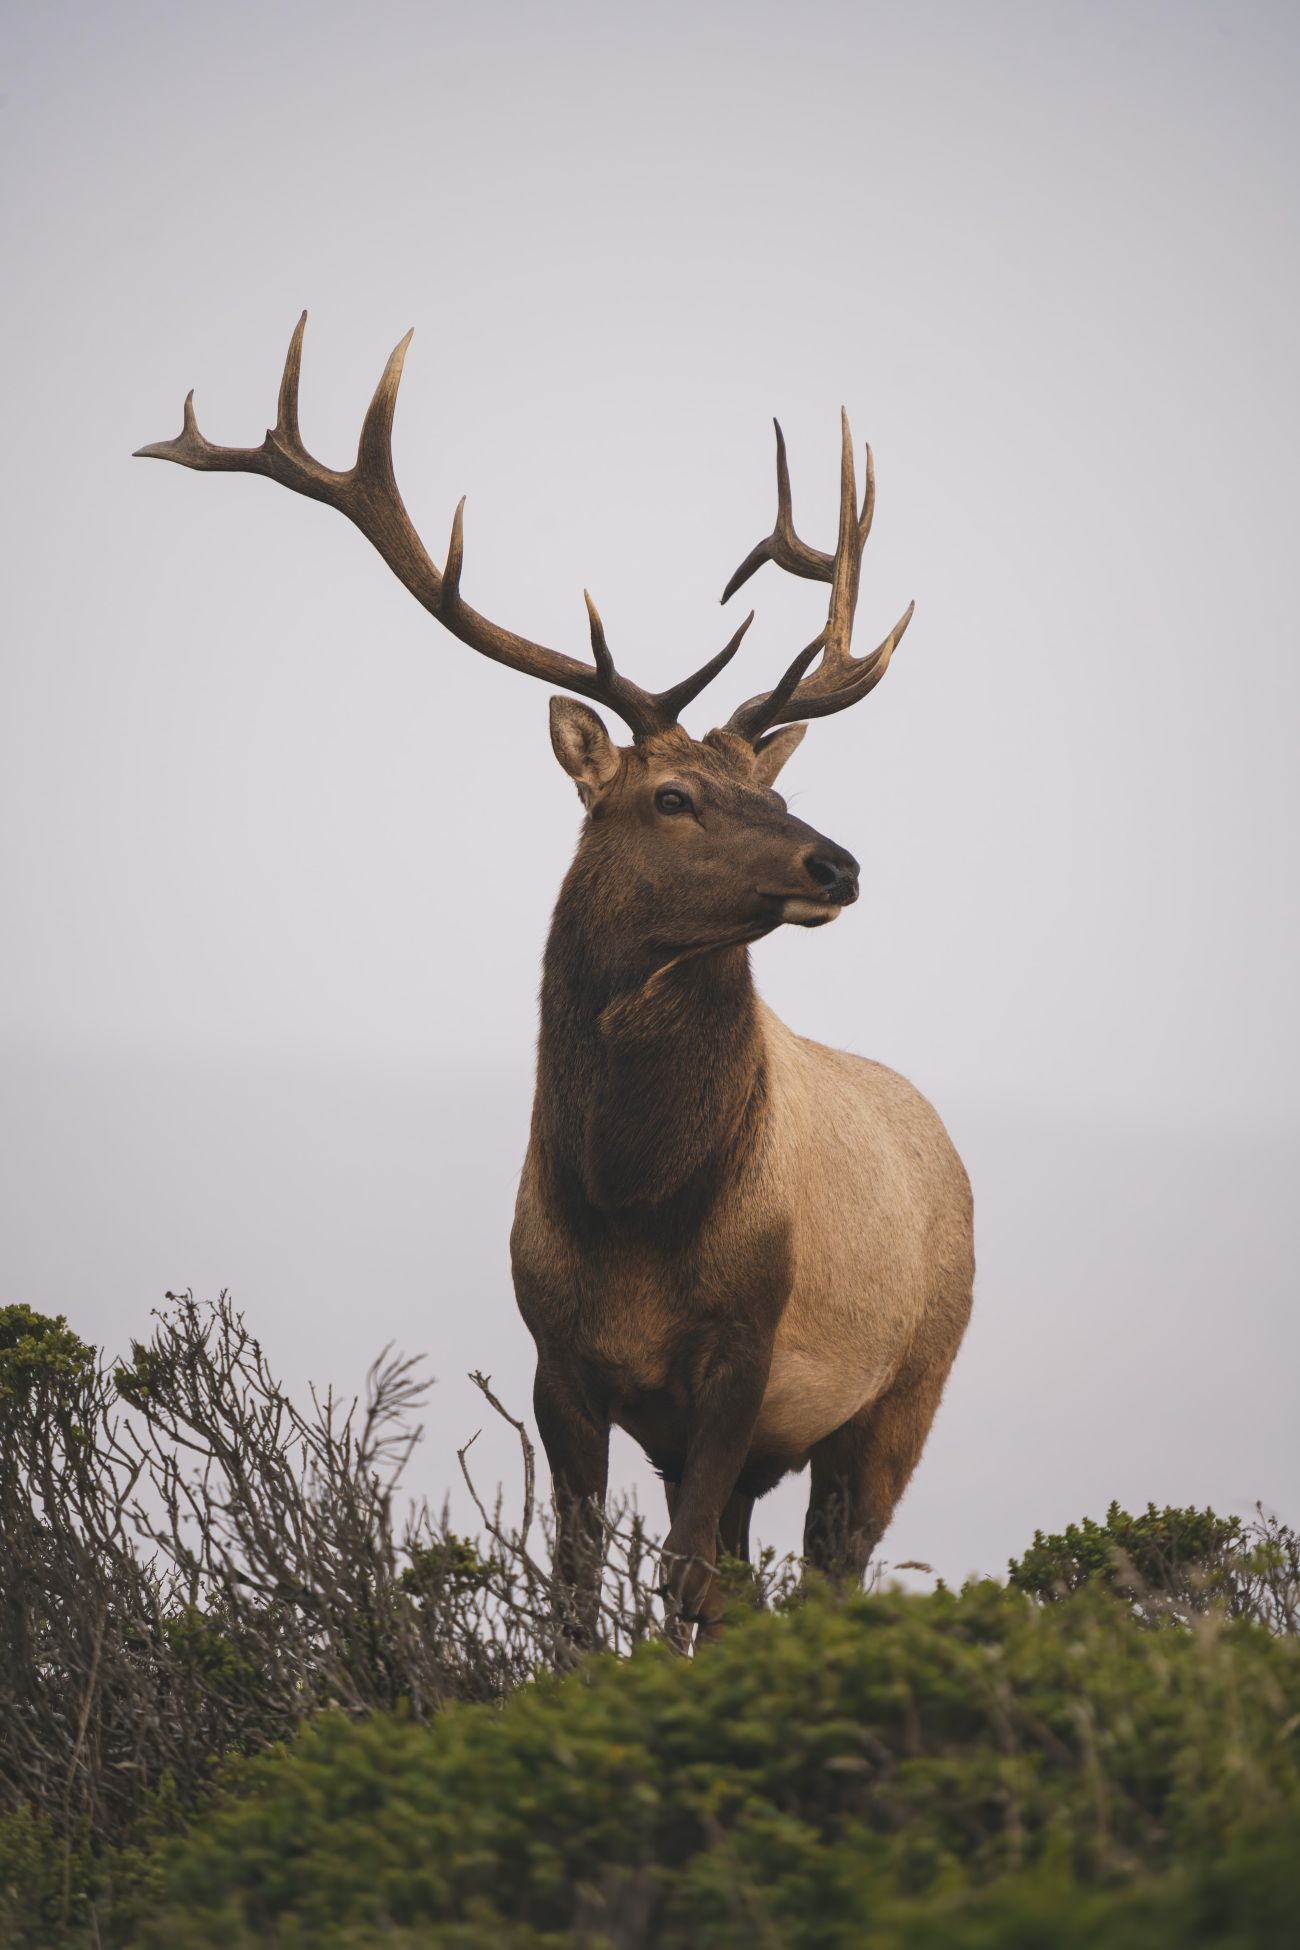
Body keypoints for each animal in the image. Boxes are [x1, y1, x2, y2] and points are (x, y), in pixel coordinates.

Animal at [137, 315, 974, 1630]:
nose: (835, 862)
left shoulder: (746, 1347)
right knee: (752, 1572)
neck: (629, 1201)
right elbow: (579, 1583)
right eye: (672, 796)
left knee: (828, 1569)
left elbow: (680, 1580)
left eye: (772, 786)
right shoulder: (555, 1359)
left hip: (906, 1389)